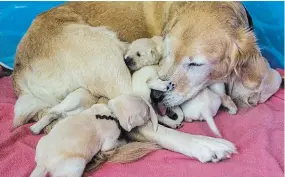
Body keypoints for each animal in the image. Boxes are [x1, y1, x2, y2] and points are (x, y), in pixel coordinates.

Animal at [12, 1, 280, 163]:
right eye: (167, 53)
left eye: (196, 64)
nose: (158, 95)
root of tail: (18, 73)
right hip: (106, 50)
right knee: (141, 126)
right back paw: (204, 145)